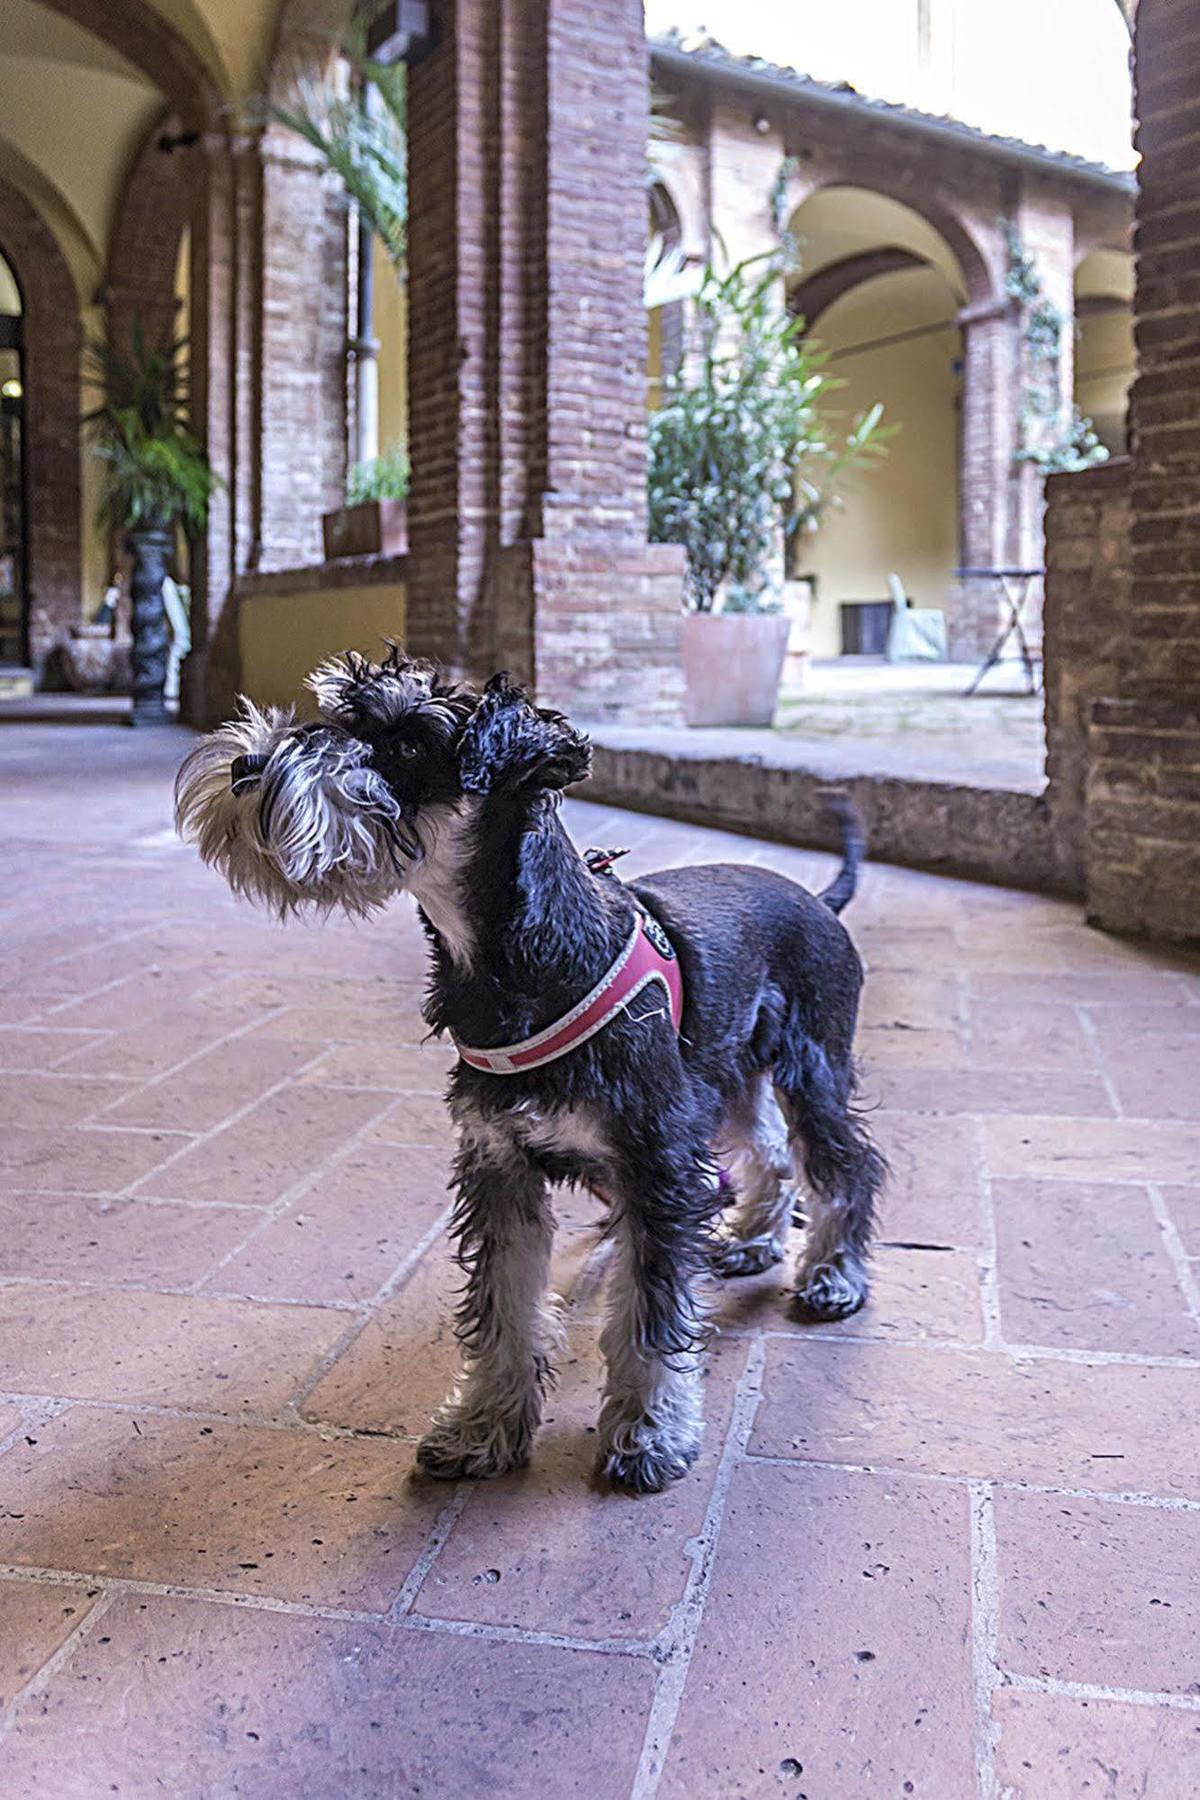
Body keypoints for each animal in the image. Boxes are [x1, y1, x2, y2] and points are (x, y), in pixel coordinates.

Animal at [178, 655, 888, 1497]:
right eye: (339, 716)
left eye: (409, 742)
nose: (247, 767)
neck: (518, 961)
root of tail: (817, 898)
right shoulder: (499, 1166)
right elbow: (504, 1310)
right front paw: (482, 1427)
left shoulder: (656, 1164)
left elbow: (648, 1318)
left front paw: (647, 1433)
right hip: (729, 1077)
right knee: (770, 1150)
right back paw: (751, 1239)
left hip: (813, 1065)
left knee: (844, 1164)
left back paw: (835, 1276)